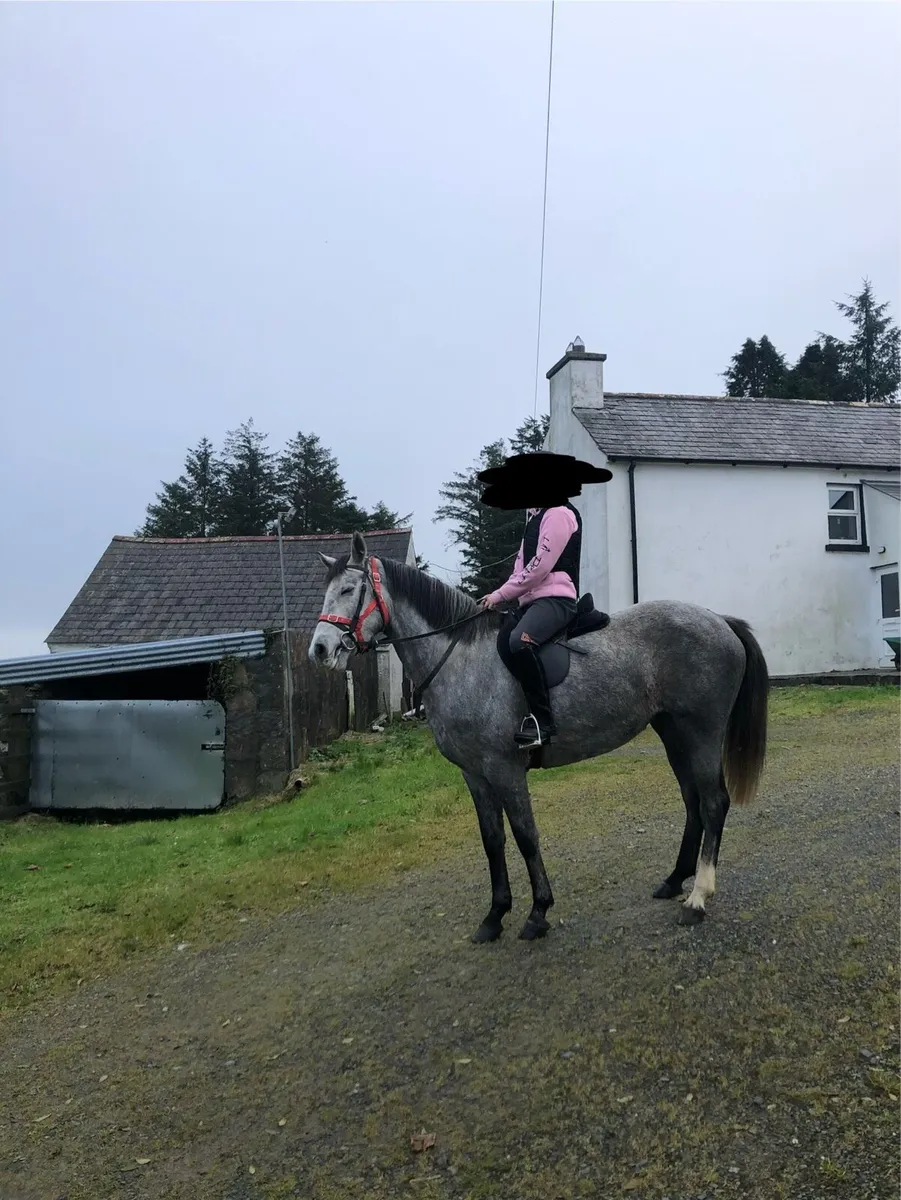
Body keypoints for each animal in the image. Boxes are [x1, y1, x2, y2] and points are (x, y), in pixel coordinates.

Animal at [309, 532, 769, 944]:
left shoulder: (505, 769)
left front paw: (537, 913)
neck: (459, 660)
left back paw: (698, 898)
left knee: (713, 802)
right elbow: (492, 841)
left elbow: (526, 836)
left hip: (702, 731)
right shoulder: (474, 775)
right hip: (674, 732)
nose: (320, 650)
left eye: (349, 589)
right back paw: (675, 881)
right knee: (692, 802)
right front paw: (494, 917)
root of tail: (719, 620)